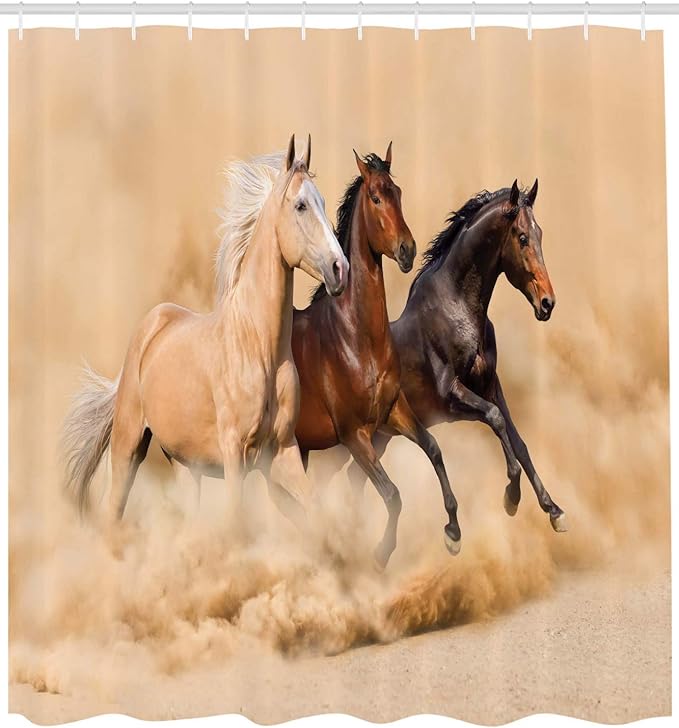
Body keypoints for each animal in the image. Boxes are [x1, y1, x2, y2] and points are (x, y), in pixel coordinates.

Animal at [62, 135, 349, 532]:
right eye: (301, 205)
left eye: (322, 201)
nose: (340, 270)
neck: (258, 349)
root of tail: (152, 326)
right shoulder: (235, 454)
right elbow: (235, 523)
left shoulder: (283, 451)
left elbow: (316, 513)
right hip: (127, 445)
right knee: (112, 510)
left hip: (186, 465)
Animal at [292, 145, 461, 568]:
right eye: (375, 197)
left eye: (397, 192)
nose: (407, 249)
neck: (356, 340)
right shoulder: (355, 436)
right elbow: (393, 494)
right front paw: (380, 553)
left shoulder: (394, 412)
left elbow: (433, 450)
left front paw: (453, 532)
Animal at [346, 179, 567, 534]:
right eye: (522, 237)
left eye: (541, 234)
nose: (547, 303)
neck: (457, 310)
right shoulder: (452, 396)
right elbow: (495, 419)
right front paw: (511, 498)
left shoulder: (490, 385)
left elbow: (518, 441)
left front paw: (554, 510)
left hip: (379, 436)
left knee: (356, 476)